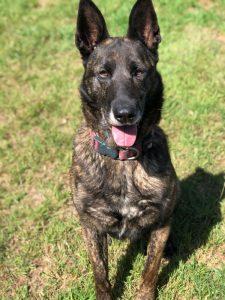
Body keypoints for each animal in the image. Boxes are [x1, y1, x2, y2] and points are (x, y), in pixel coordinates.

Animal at [70, 0, 179, 300]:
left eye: (139, 71)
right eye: (103, 73)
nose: (125, 114)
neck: (123, 160)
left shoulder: (160, 224)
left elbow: (150, 269)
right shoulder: (92, 227)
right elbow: (101, 274)